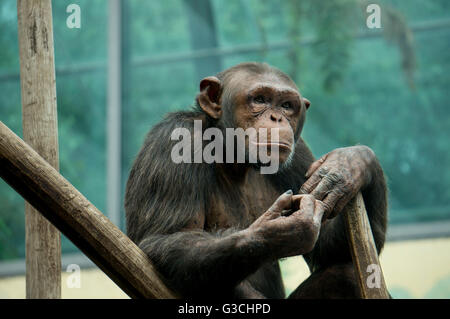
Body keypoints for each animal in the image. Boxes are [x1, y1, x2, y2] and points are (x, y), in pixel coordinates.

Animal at [125, 62, 388, 300]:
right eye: (260, 99)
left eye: (286, 105)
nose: (277, 118)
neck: (231, 155)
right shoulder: (173, 141)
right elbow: (166, 238)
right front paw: (281, 232)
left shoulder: (299, 153)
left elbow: (328, 249)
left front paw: (350, 164)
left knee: (343, 274)